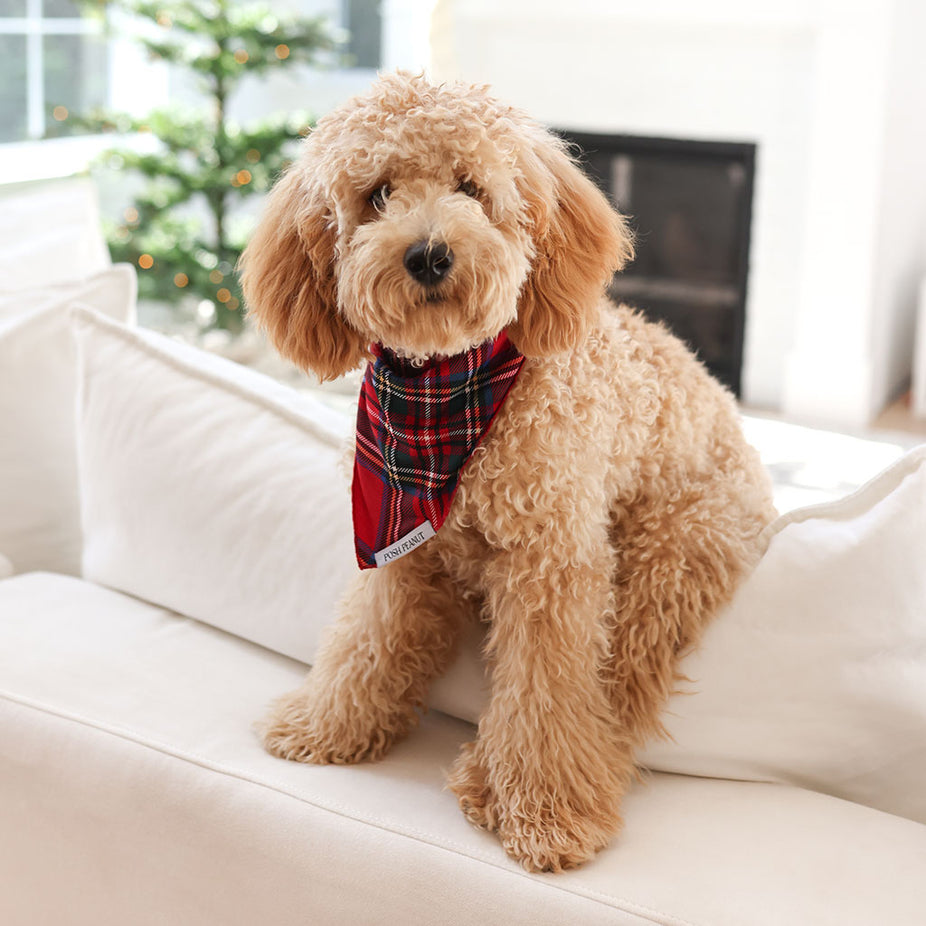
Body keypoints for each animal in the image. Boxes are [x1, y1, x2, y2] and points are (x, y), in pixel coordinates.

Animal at [239, 74, 776, 876]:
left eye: (470, 187)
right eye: (377, 194)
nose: (429, 255)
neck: (446, 394)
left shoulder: (551, 564)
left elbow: (545, 694)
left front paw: (548, 815)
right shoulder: (402, 553)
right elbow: (365, 642)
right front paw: (327, 724)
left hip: (670, 553)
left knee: (618, 687)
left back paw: (517, 781)